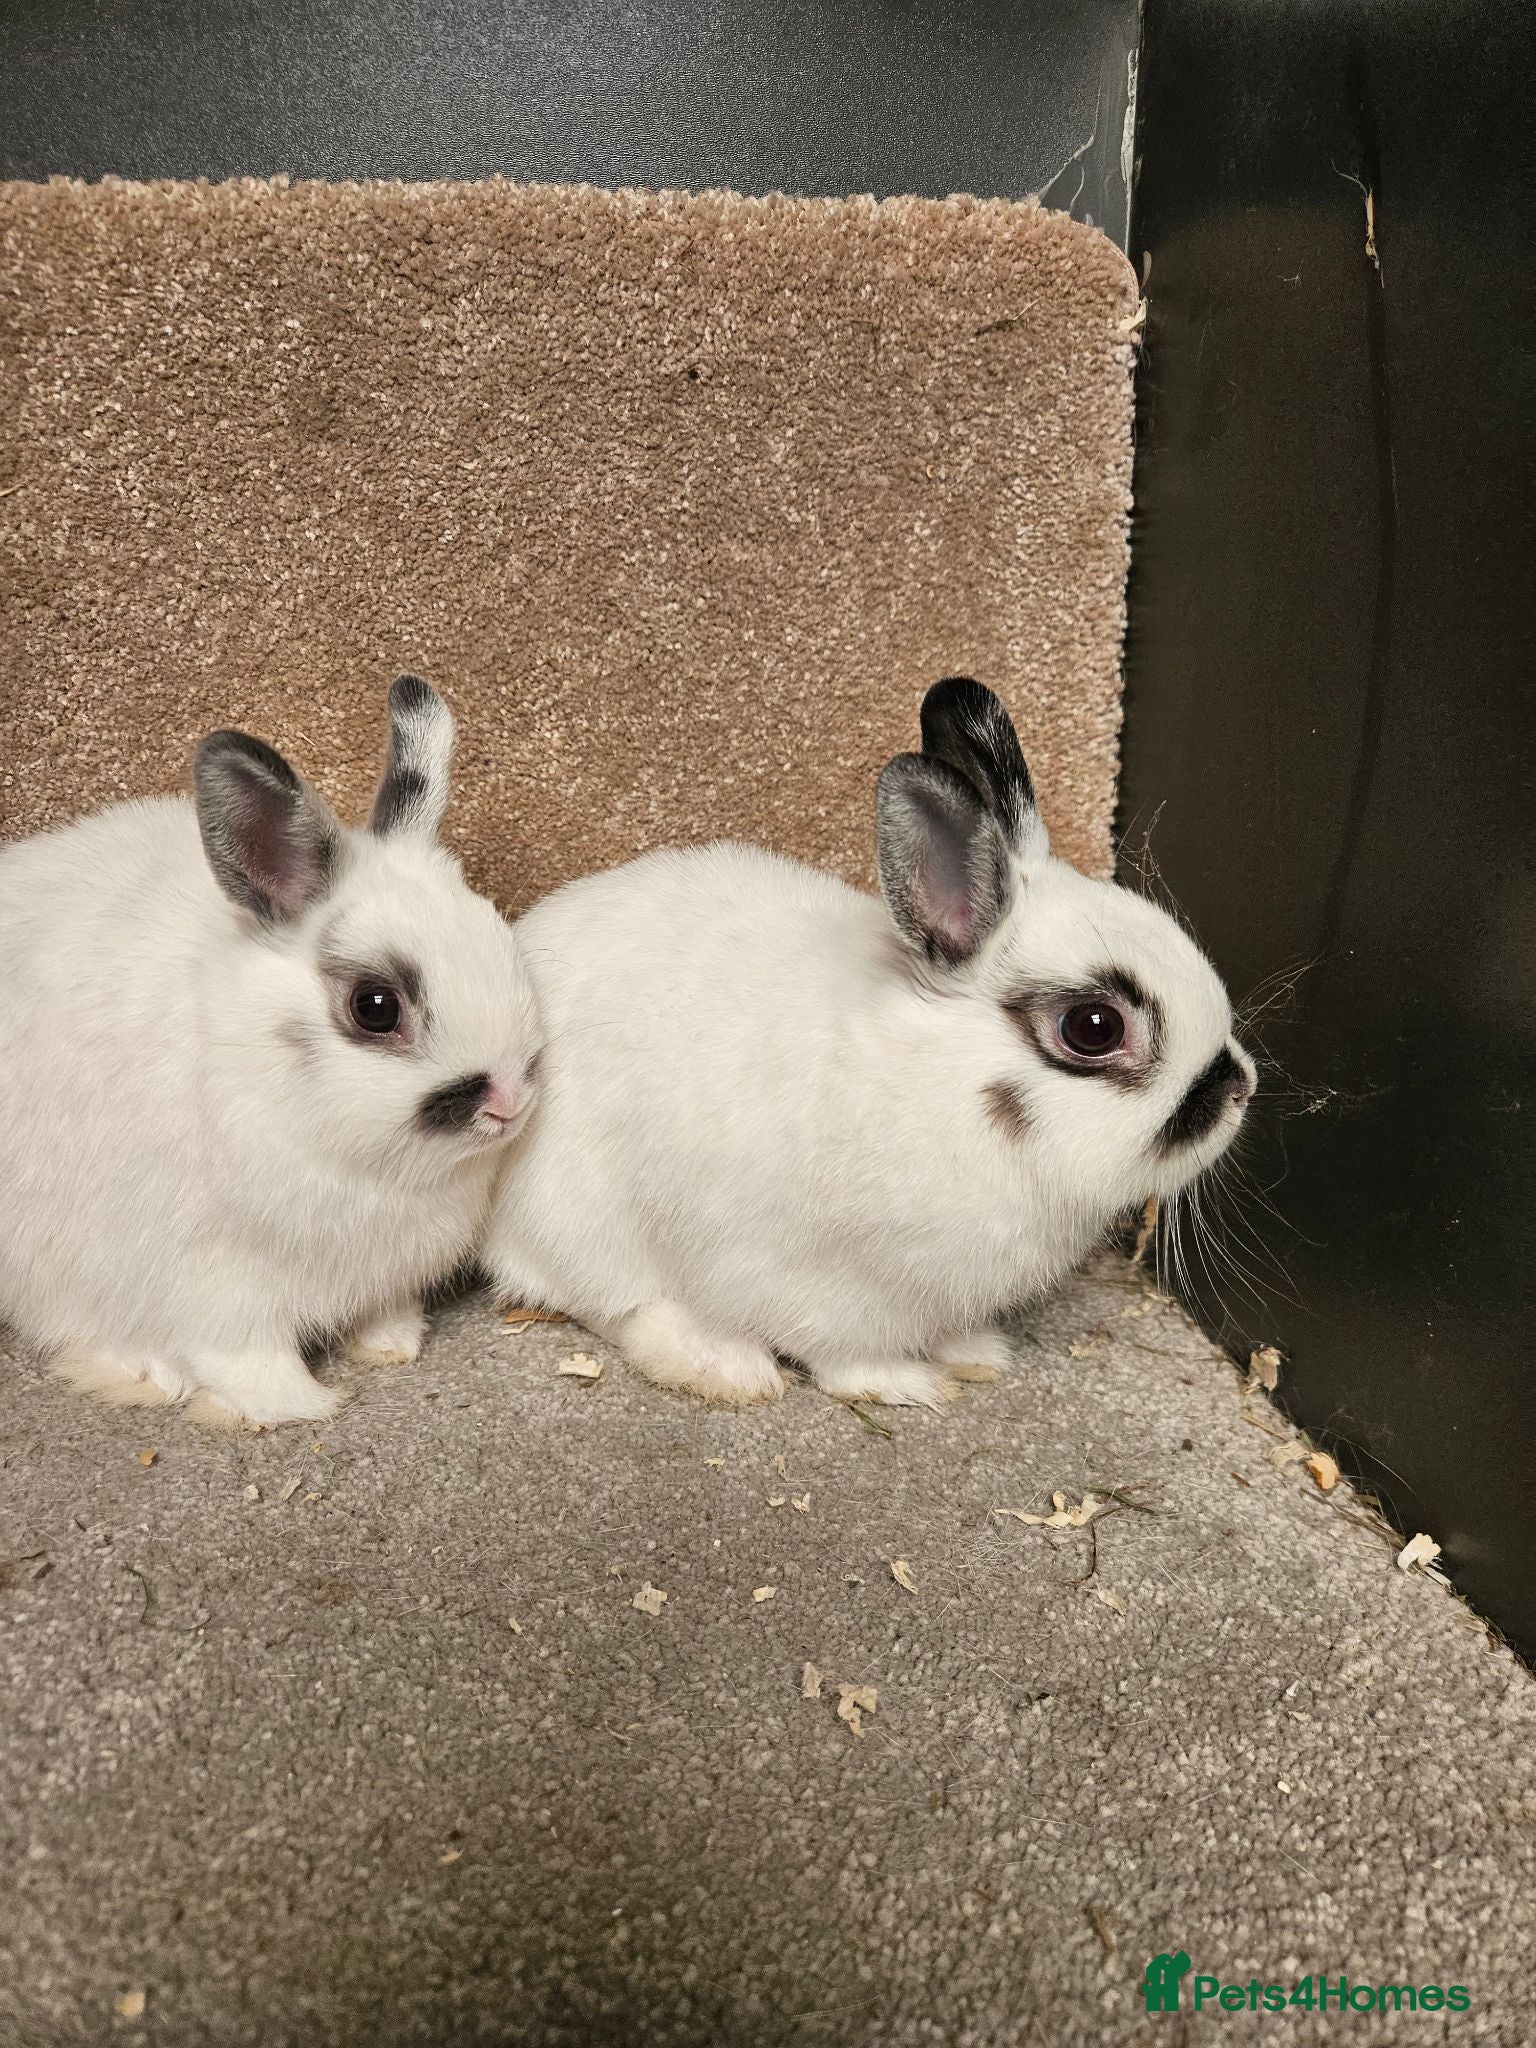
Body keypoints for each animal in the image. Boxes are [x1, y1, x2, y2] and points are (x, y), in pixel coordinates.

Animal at [0, 674, 543, 1428]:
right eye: (376, 1007)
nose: (511, 1102)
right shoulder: (214, 1281)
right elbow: (245, 1356)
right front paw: (299, 1406)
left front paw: (392, 1344)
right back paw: (145, 1373)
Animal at [482, 677, 1255, 1410]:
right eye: (1094, 1028)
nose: (1240, 1089)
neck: (948, 1085)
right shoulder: (820, 1286)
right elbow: (844, 1356)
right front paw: (907, 1385)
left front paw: (974, 1353)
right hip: (581, 1221)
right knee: (615, 1304)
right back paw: (724, 1367)